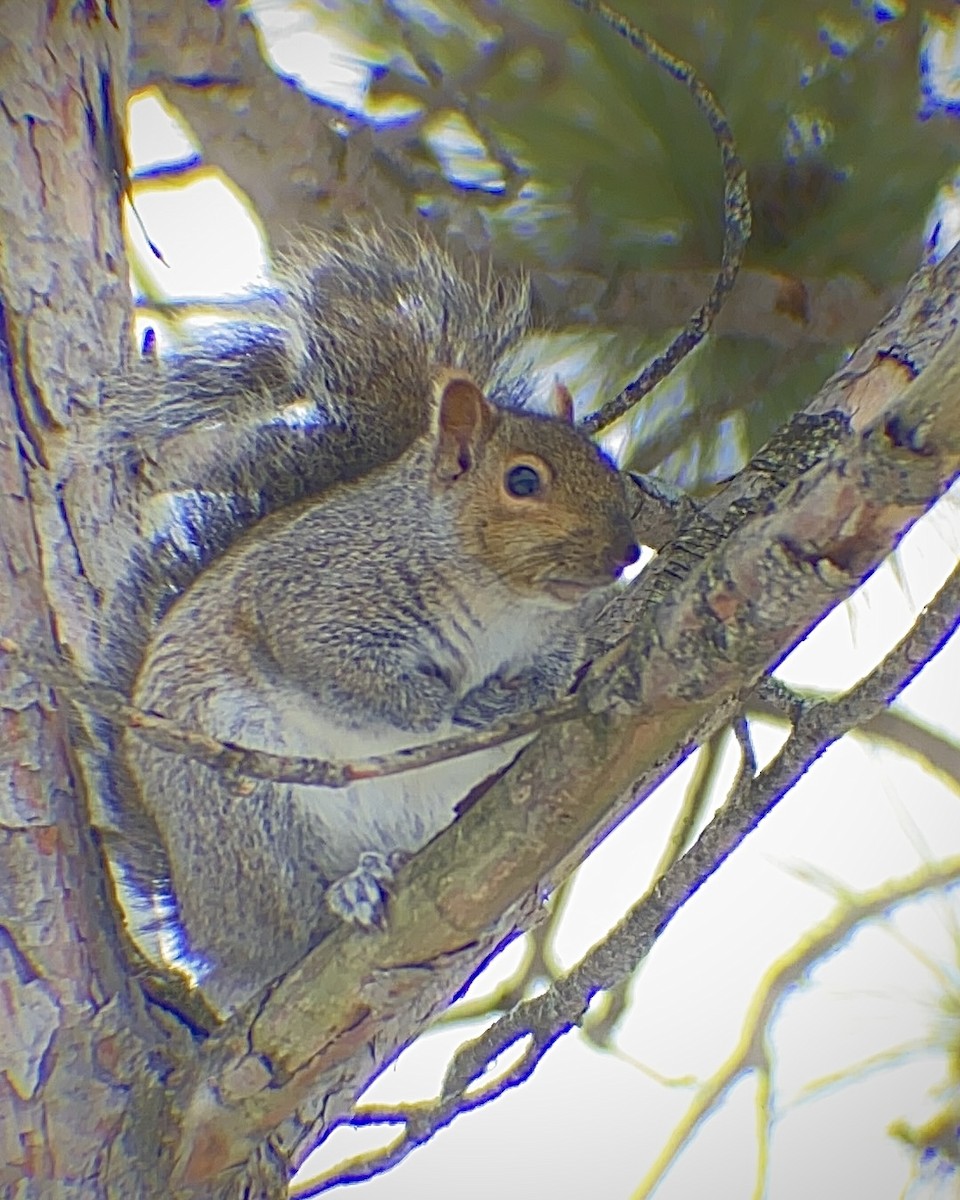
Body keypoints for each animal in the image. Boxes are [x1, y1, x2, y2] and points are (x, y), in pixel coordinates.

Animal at [87, 226, 639, 1015]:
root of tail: (207, 931)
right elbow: (361, 685)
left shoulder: (556, 635)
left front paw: (523, 696)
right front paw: (451, 705)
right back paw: (343, 894)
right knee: (288, 931)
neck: (504, 601)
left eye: (606, 462)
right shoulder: (308, 604)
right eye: (522, 480)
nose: (626, 550)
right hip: (241, 814)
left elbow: (555, 668)